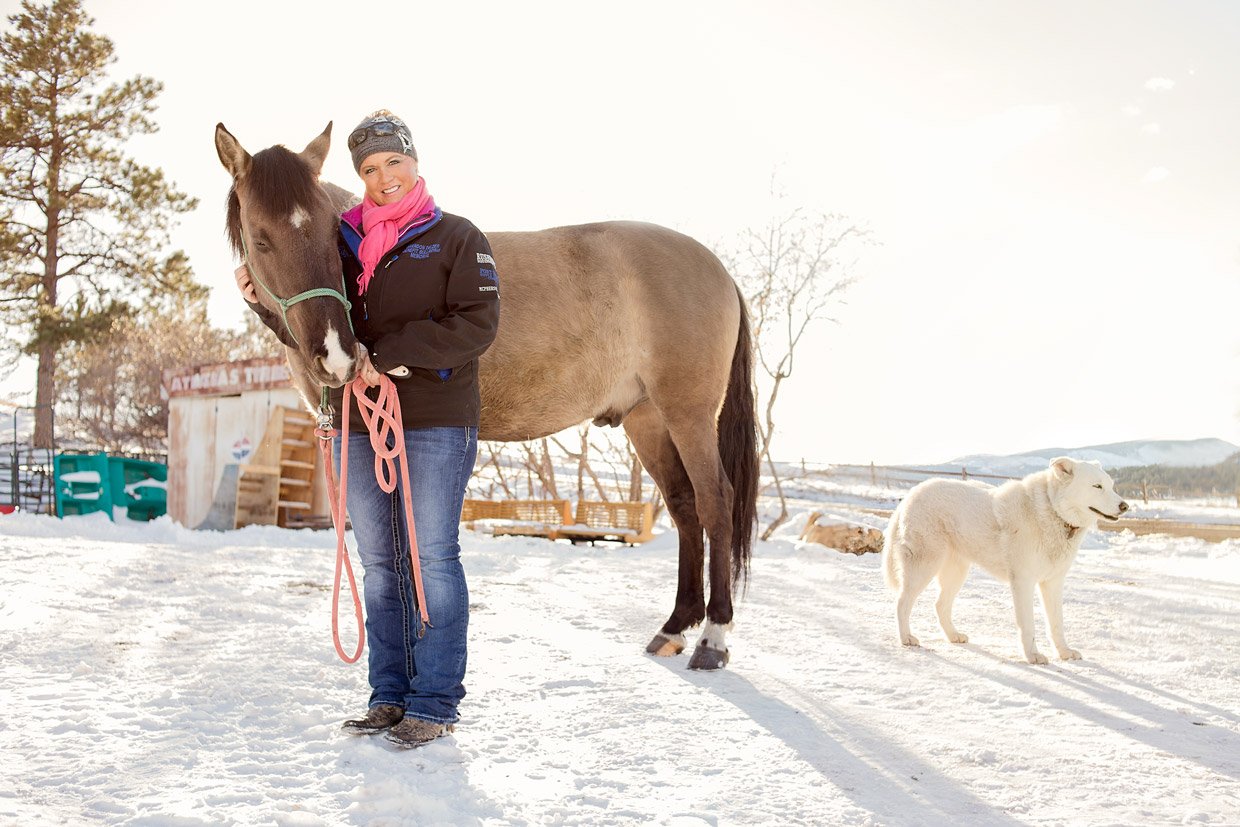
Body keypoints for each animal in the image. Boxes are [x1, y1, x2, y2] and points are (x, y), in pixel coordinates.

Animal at [218, 122, 758, 674]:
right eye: (261, 239)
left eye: (330, 232)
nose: (337, 354)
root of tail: (718, 271)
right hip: (648, 420)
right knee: (684, 506)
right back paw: (674, 627)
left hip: (688, 416)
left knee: (715, 503)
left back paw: (712, 637)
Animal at [877, 458, 1130, 664]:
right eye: (1096, 486)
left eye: (1111, 486)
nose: (1125, 506)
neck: (1052, 511)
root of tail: (910, 495)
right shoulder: (1023, 582)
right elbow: (1028, 624)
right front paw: (1032, 656)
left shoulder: (1053, 583)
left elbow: (1056, 624)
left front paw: (1064, 653)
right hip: (924, 566)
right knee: (901, 603)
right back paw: (906, 638)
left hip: (956, 572)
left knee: (939, 605)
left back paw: (953, 636)